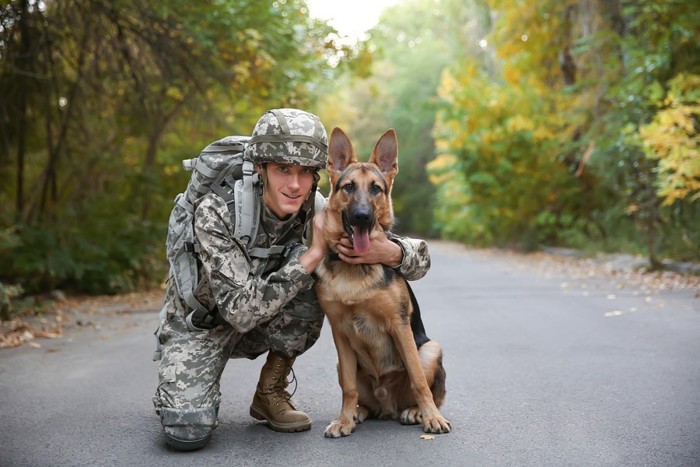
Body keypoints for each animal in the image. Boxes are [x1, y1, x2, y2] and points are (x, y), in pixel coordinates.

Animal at [314, 128, 452, 438]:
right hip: (344, 363)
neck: (355, 268)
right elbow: (349, 388)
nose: (362, 217)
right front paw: (343, 421)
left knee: (426, 390)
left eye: (376, 188)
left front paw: (432, 418)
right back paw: (357, 413)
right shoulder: (340, 332)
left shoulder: (399, 326)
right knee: (362, 398)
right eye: (348, 187)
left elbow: (418, 380)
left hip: (430, 349)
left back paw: (416, 412)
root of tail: (387, 406)